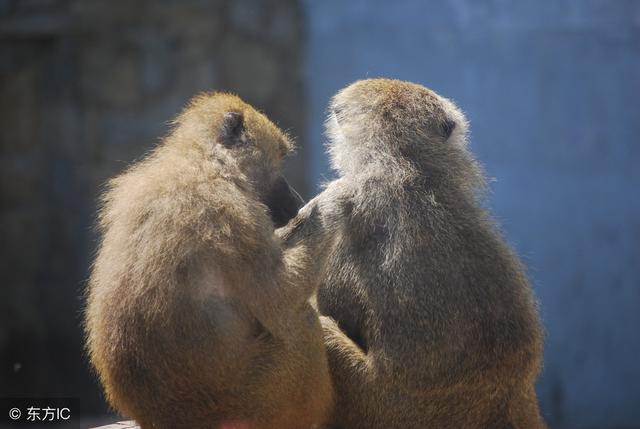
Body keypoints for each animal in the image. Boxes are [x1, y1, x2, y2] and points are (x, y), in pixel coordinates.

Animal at [84, 93, 336, 428]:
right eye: (280, 158)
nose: (296, 199)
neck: (204, 161)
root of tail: (171, 418)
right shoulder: (235, 213)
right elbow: (280, 298)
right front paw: (334, 202)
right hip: (255, 399)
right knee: (301, 320)